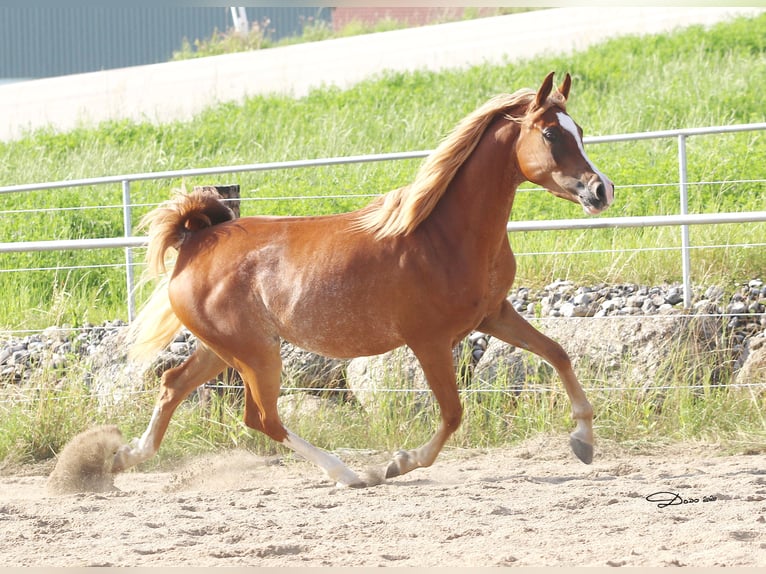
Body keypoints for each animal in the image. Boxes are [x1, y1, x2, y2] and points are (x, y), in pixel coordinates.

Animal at [114, 71, 616, 486]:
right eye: (550, 133)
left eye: (579, 131)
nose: (601, 190)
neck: (444, 236)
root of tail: (197, 240)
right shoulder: (430, 341)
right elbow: (453, 414)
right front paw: (399, 463)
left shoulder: (493, 315)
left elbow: (558, 353)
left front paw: (583, 442)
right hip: (254, 355)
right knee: (264, 419)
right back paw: (351, 474)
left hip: (224, 350)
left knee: (176, 384)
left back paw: (122, 459)